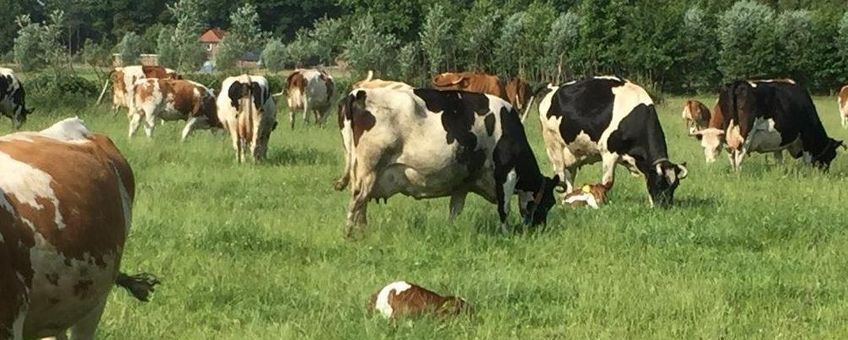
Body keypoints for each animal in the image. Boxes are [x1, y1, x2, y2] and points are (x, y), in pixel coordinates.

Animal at [334, 87, 560, 236]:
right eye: (550, 202)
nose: (540, 228)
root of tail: (358, 93)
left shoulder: (462, 184)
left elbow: (455, 210)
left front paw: (452, 230)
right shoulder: (506, 173)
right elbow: (504, 208)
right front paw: (506, 234)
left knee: (362, 203)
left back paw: (362, 232)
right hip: (370, 168)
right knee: (358, 199)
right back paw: (349, 235)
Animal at [536, 76, 688, 207]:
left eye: (675, 185)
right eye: (659, 183)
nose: (665, 206)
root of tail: (553, 88)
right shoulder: (608, 152)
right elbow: (607, 182)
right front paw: (602, 202)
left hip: (572, 151)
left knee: (569, 176)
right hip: (553, 143)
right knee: (560, 173)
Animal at [692, 79, 840, 170]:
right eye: (832, 155)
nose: (825, 172)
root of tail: (738, 84)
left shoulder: (779, 141)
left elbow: (779, 157)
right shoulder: (807, 137)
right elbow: (807, 160)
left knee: (732, 156)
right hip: (745, 134)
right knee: (739, 157)